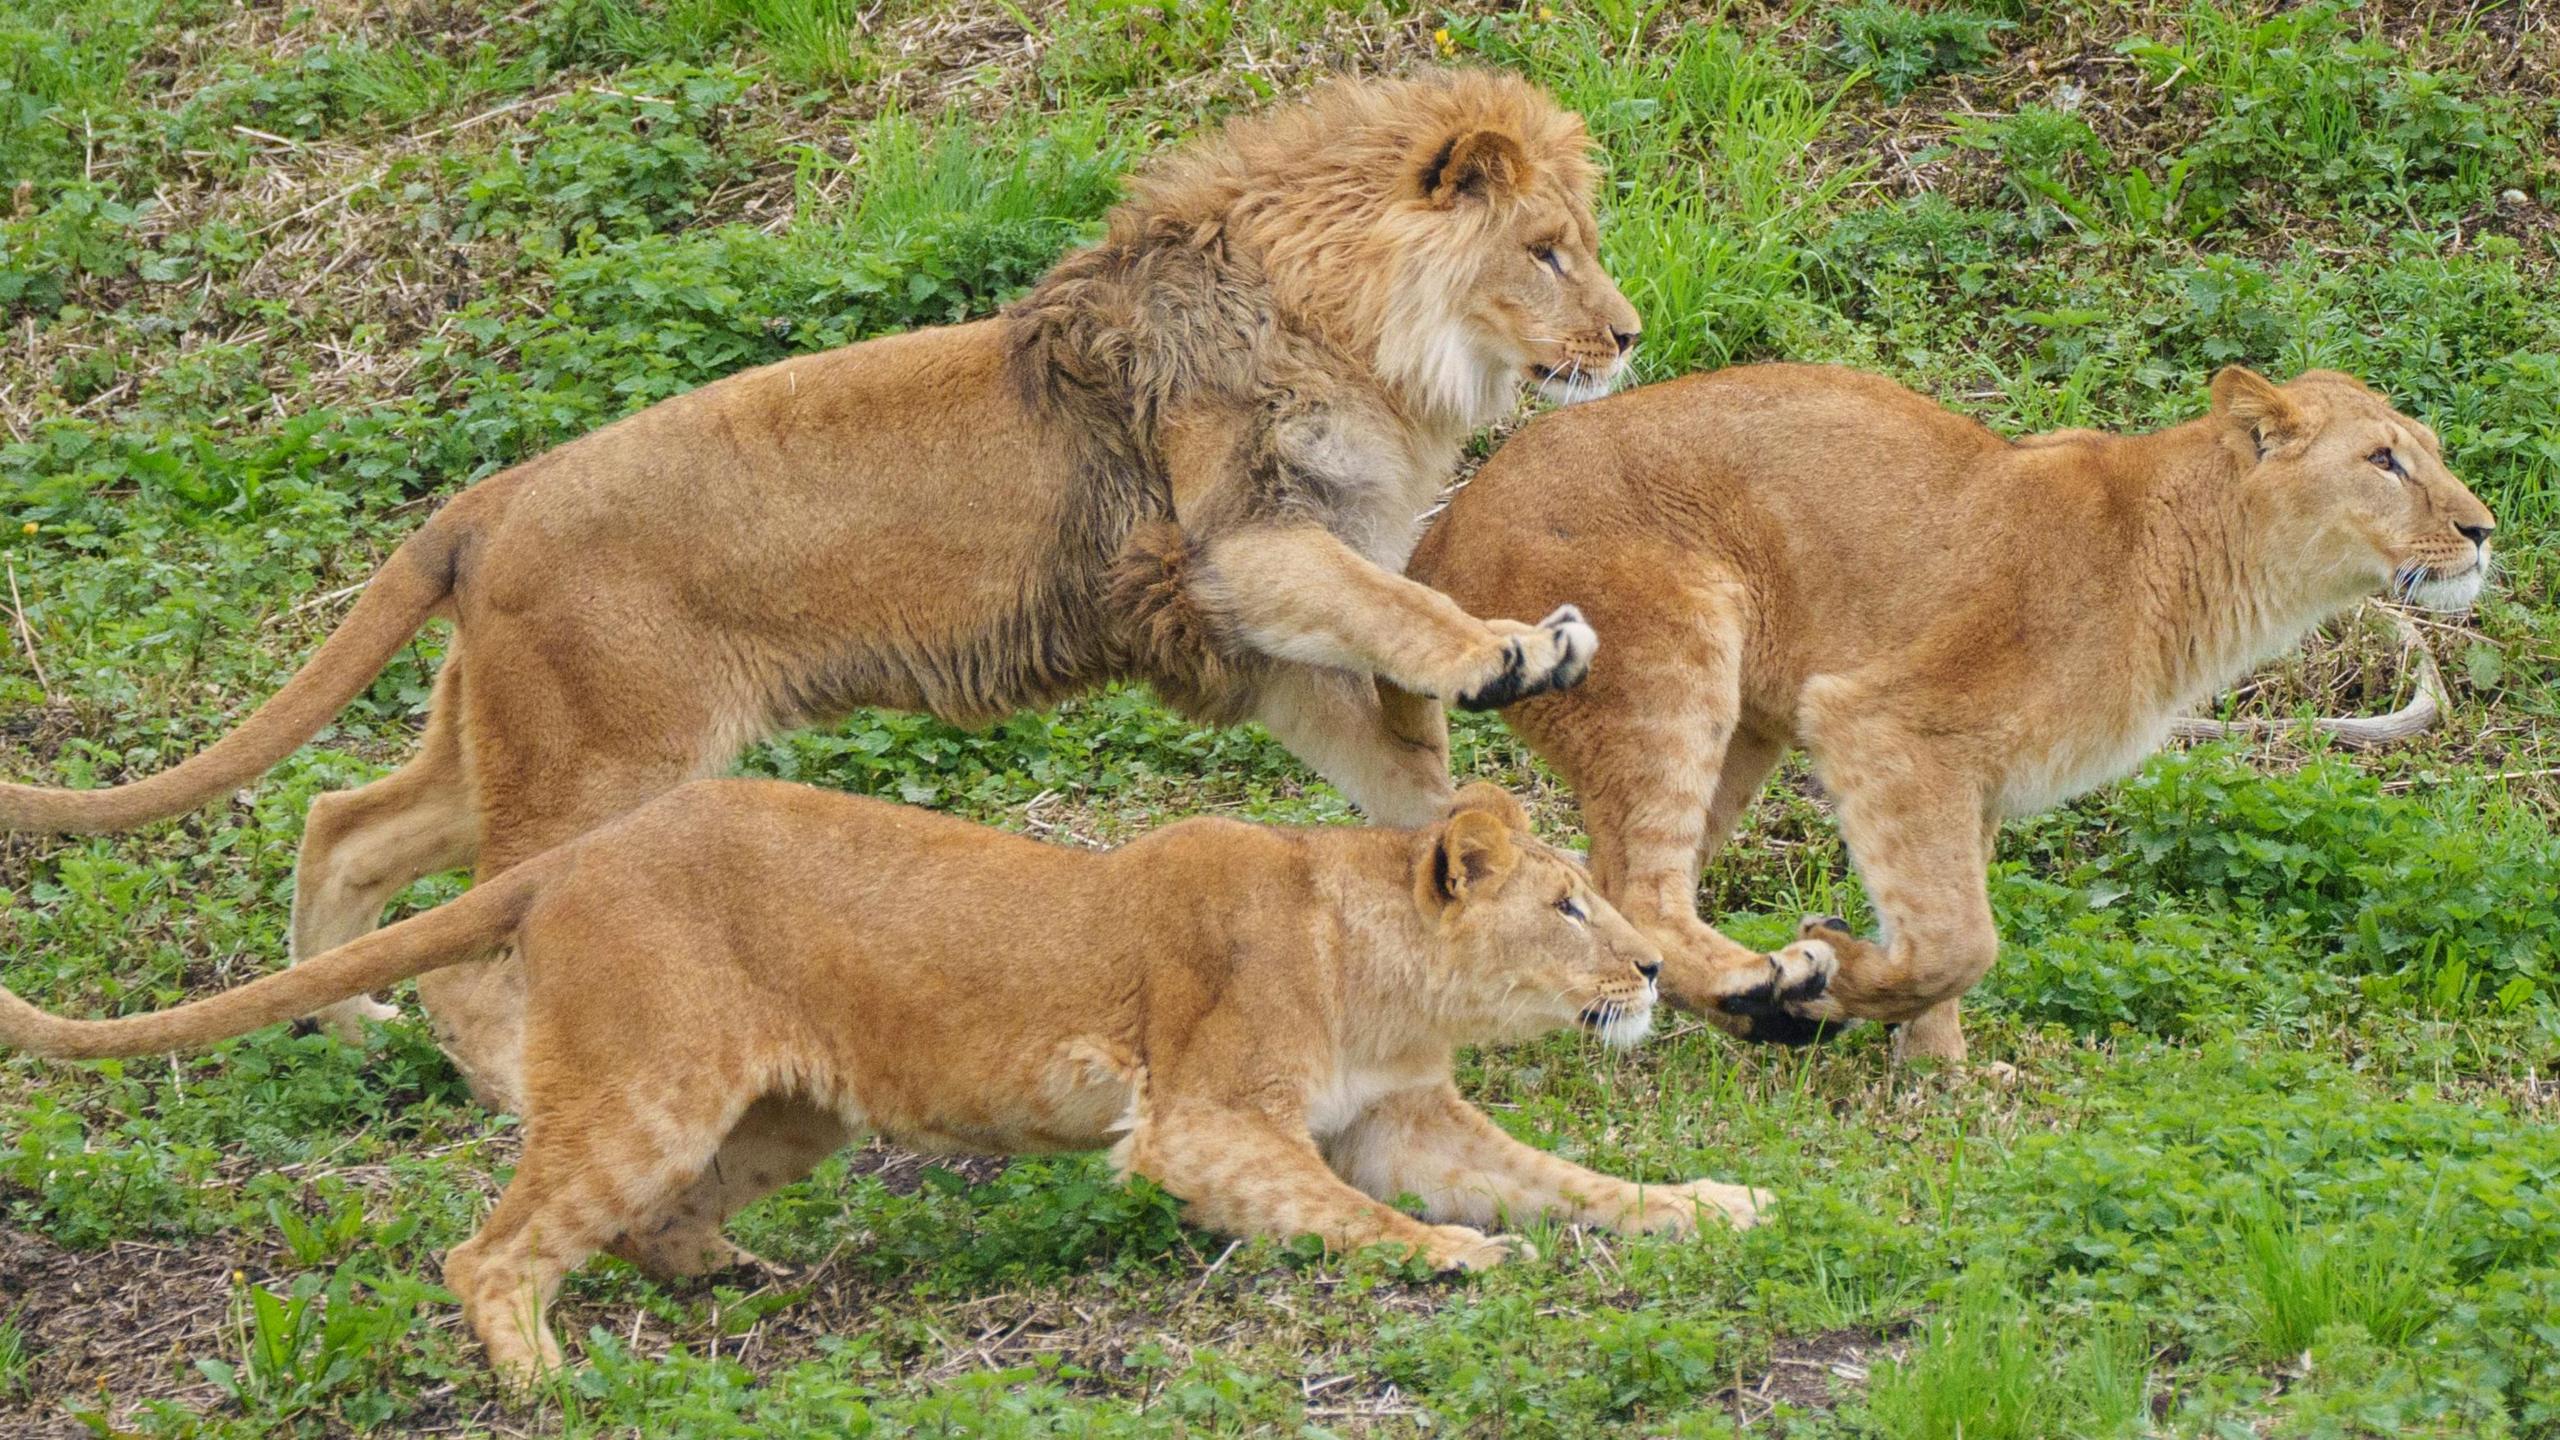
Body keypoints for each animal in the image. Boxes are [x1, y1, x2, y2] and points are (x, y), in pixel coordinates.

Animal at [0, 784, 1781, 1383]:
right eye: (1571, 905)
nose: (1646, 970)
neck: (1391, 970)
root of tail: (577, 852)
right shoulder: (1200, 1122)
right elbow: (1362, 1216)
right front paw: (1457, 1260)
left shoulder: (1406, 1112)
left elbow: (1568, 1183)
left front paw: (1714, 1203)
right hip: (653, 1088)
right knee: (489, 1247)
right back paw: (552, 1380)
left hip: (778, 1115)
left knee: (641, 1224)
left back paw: (745, 1280)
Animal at [5, 70, 1638, 1112]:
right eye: (1548, 251)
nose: (1627, 335)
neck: (1365, 333)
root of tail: (489, 500)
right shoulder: (1238, 549)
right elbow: (1403, 616)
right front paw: (1516, 649)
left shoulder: (1264, 640)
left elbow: (1405, 767)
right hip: (598, 763)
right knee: (470, 938)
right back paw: (501, 1081)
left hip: (522, 740)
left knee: (347, 824)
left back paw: (344, 1021)